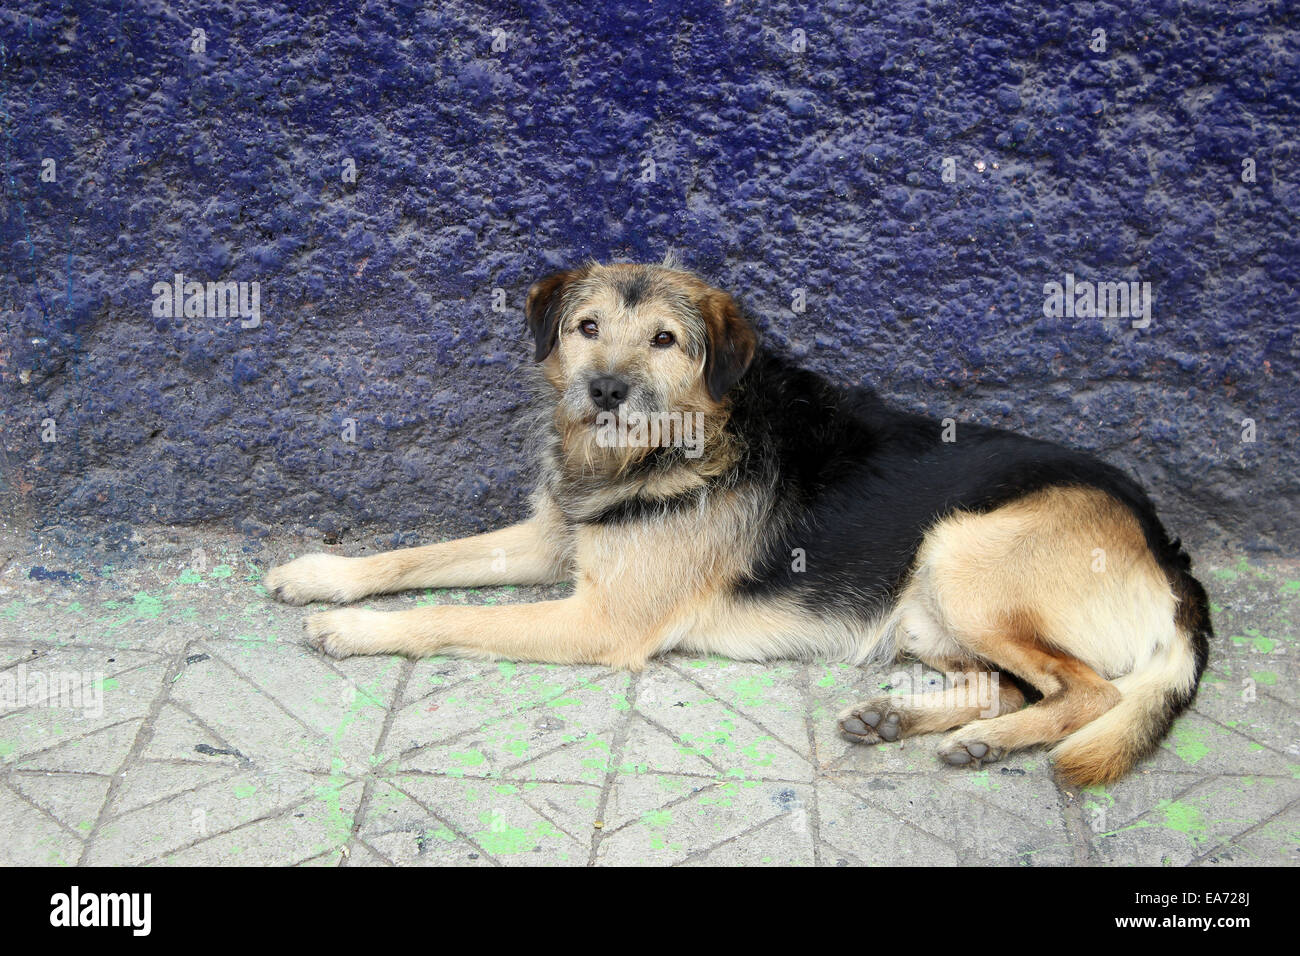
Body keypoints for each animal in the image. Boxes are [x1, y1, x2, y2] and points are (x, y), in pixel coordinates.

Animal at [263, 260, 1206, 785]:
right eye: (587, 327)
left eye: (666, 340)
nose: (605, 391)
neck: (666, 449)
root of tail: (1170, 558)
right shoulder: (548, 540)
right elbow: (419, 557)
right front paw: (322, 575)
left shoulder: (602, 621)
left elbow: (448, 613)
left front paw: (356, 631)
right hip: (927, 612)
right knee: (1018, 682)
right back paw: (914, 722)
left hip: (961, 552)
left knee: (1091, 691)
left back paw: (990, 740)